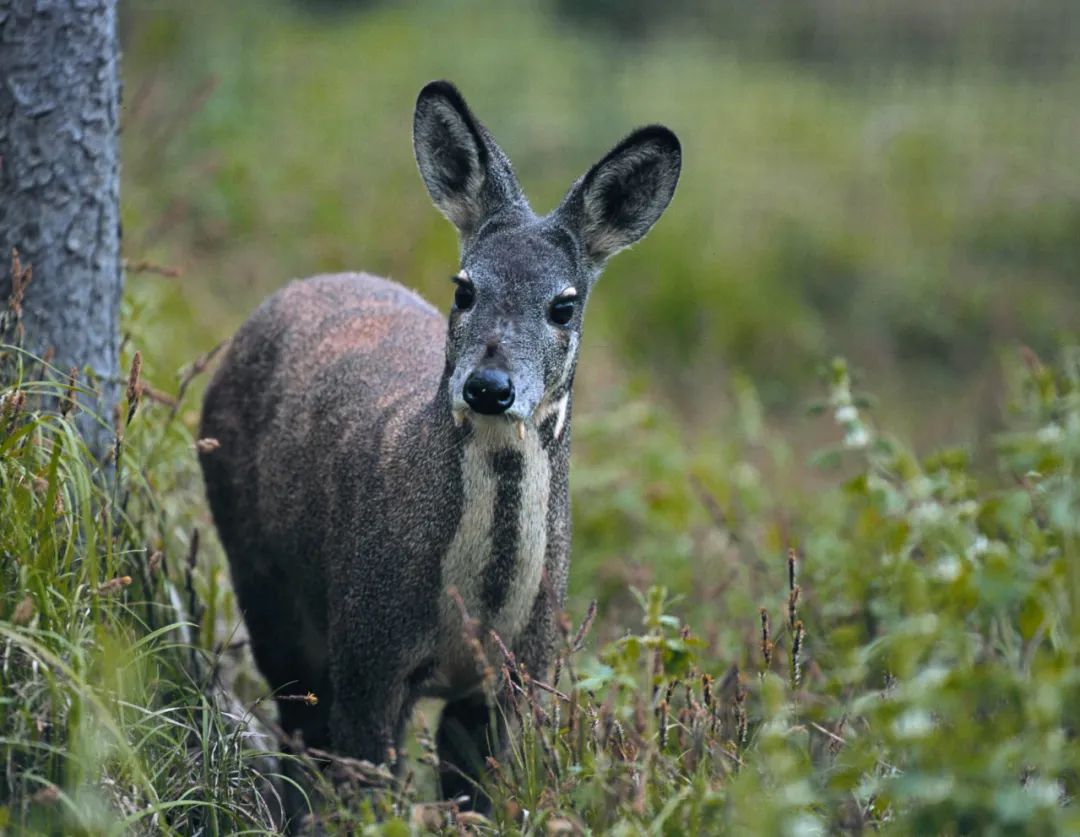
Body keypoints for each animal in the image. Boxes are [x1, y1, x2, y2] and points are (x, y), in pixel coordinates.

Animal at [198, 82, 678, 816]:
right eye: (465, 287)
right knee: (299, 727)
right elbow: (365, 786)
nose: (489, 386)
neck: (475, 610)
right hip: (263, 577)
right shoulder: (369, 646)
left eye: (563, 305)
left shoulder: (517, 675)